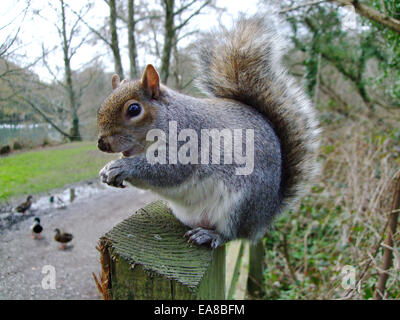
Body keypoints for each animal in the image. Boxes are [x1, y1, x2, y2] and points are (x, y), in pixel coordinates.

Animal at [96, 16, 318, 249]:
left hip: (241, 204)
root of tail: (267, 214)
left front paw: (122, 167)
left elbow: (169, 170)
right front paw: (107, 171)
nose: (102, 143)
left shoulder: (189, 140)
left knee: (232, 234)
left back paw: (211, 235)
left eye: (134, 109)